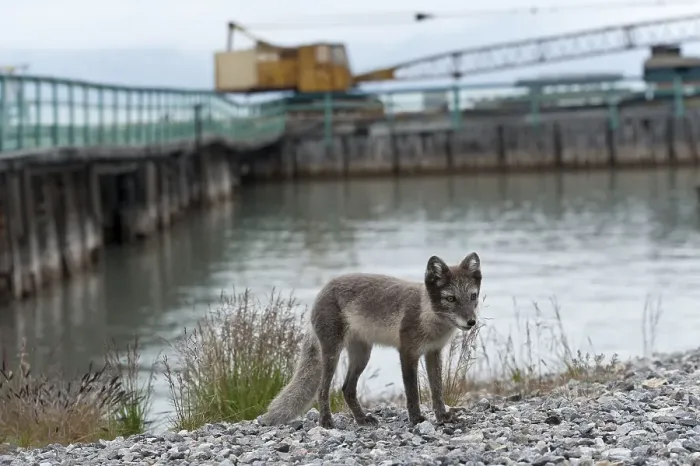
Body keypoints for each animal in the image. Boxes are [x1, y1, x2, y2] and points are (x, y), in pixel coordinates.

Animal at [258, 252, 482, 429]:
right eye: (451, 299)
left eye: (473, 296)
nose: (471, 322)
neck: (427, 314)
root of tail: (322, 291)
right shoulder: (407, 353)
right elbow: (412, 392)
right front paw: (416, 419)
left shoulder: (433, 352)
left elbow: (437, 389)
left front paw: (442, 416)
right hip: (332, 353)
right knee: (323, 390)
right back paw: (326, 422)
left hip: (362, 355)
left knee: (347, 389)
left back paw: (361, 419)